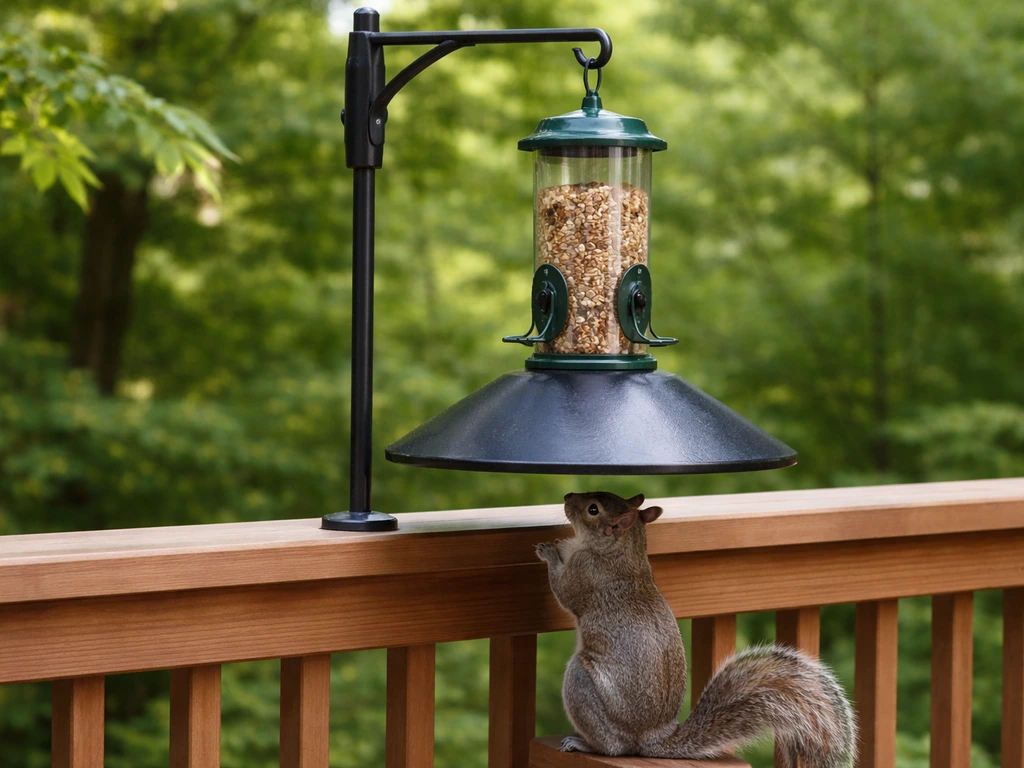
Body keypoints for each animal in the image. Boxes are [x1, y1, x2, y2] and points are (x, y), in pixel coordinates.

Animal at [535, 491, 856, 768]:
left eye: (593, 509)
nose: (567, 498)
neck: (621, 551)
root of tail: (650, 737)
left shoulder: (586, 574)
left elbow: (563, 590)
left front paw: (548, 552)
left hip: (582, 685)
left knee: (612, 746)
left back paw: (585, 743)